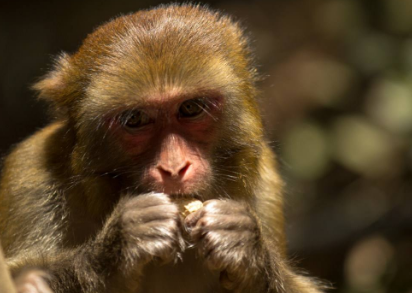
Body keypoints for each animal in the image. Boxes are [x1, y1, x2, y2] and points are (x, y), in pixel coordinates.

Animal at [0, 4, 326, 292]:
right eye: (136, 119)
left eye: (190, 108)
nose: (174, 167)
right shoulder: (30, 174)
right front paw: (120, 244)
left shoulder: (267, 184)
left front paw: (245, 243)